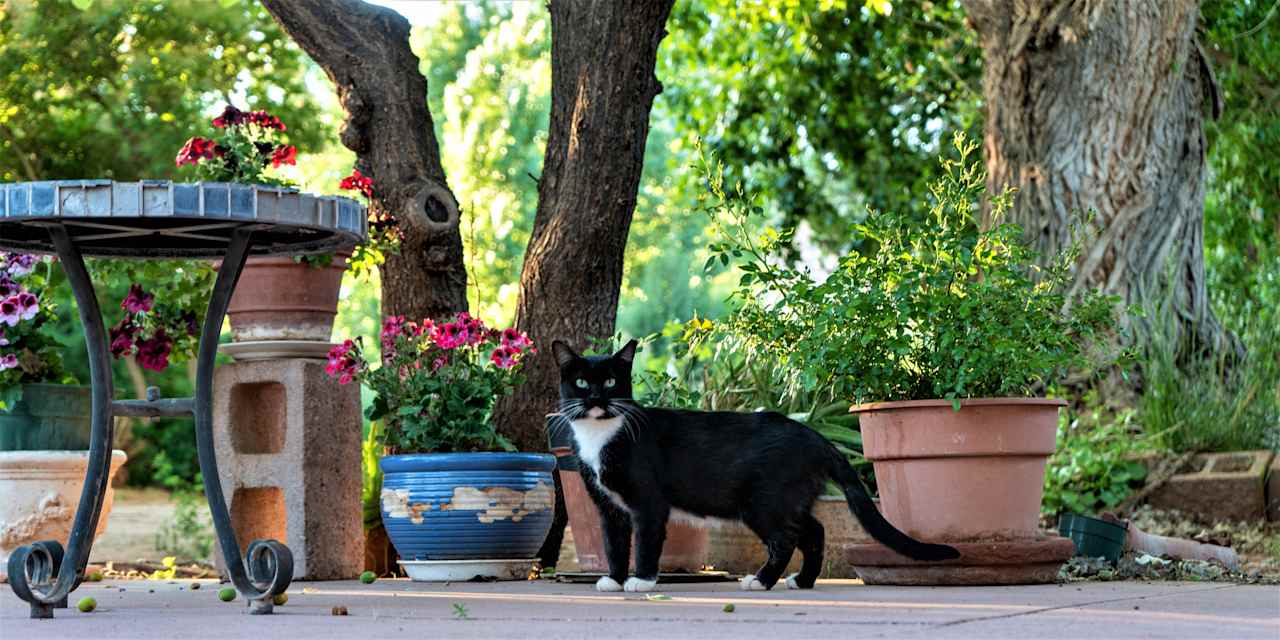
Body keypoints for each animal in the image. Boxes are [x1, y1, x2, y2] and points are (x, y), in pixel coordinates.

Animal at [550, 337, 962, 591]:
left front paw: (643, 581)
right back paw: (802, 581)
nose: (597, 398)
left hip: (763, 502)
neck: (602, 434)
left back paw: (762, 581)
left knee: (786, 538)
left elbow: (646, 541)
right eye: (582, 382)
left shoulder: (648, 503)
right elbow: (613, 543)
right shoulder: (607, 507)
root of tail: (816, 436)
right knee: (814, 531)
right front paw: (613, 579)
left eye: (611, 381)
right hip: (789, 497)